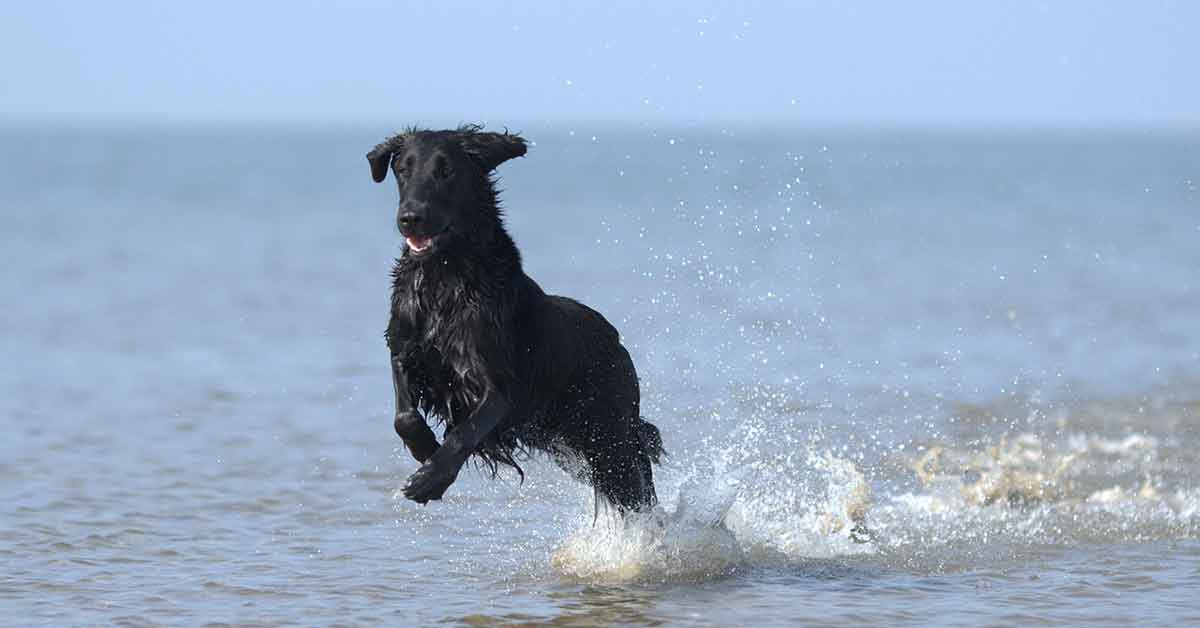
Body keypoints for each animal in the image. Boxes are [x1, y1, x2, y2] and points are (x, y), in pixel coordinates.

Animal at [364, 125, 667, 513]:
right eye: (402, 169)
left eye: (446, 172)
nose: (410, 217)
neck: (444, 279)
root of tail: (615, 339)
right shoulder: (404, 348)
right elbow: (404, 416)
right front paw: (425, 449)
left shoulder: (498, 387)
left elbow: (464, 433)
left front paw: (430, 480)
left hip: (610, 440)